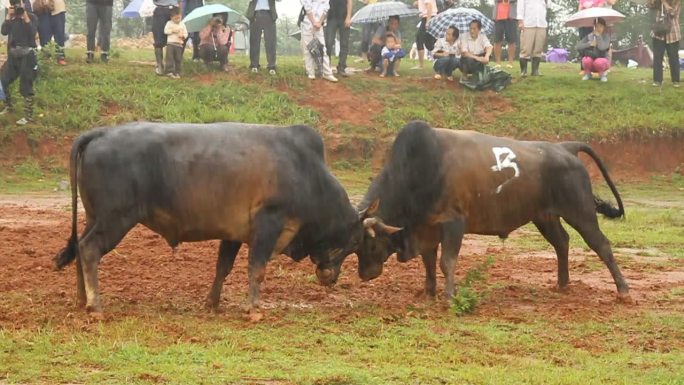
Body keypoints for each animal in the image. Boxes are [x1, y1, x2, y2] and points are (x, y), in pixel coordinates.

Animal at [56, 123, 364, 312]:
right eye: (351, 243)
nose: (330, 277)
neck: (306, 171)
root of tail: (101, 133)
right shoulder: (268, 224)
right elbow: (257, 268)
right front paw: (253, 307)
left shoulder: (234, 234)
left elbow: (222, 268)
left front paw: (212, 303)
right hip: (114, 219)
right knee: (89, 249)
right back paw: (95, 304)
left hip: (94, 217)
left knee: (79, 248)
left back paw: (81, 298)